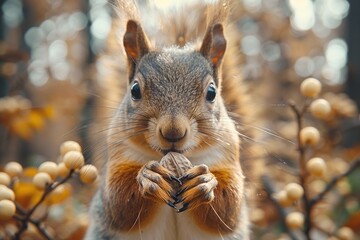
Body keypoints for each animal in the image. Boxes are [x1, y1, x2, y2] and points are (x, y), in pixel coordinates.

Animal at [85, 0, 258, 239]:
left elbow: (228, 210)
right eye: (135, 90)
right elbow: (118, 202)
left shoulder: (227, 155)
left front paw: (206, 183)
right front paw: (148, 177)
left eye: (212, 92)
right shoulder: (119, 154)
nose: (173, 131)